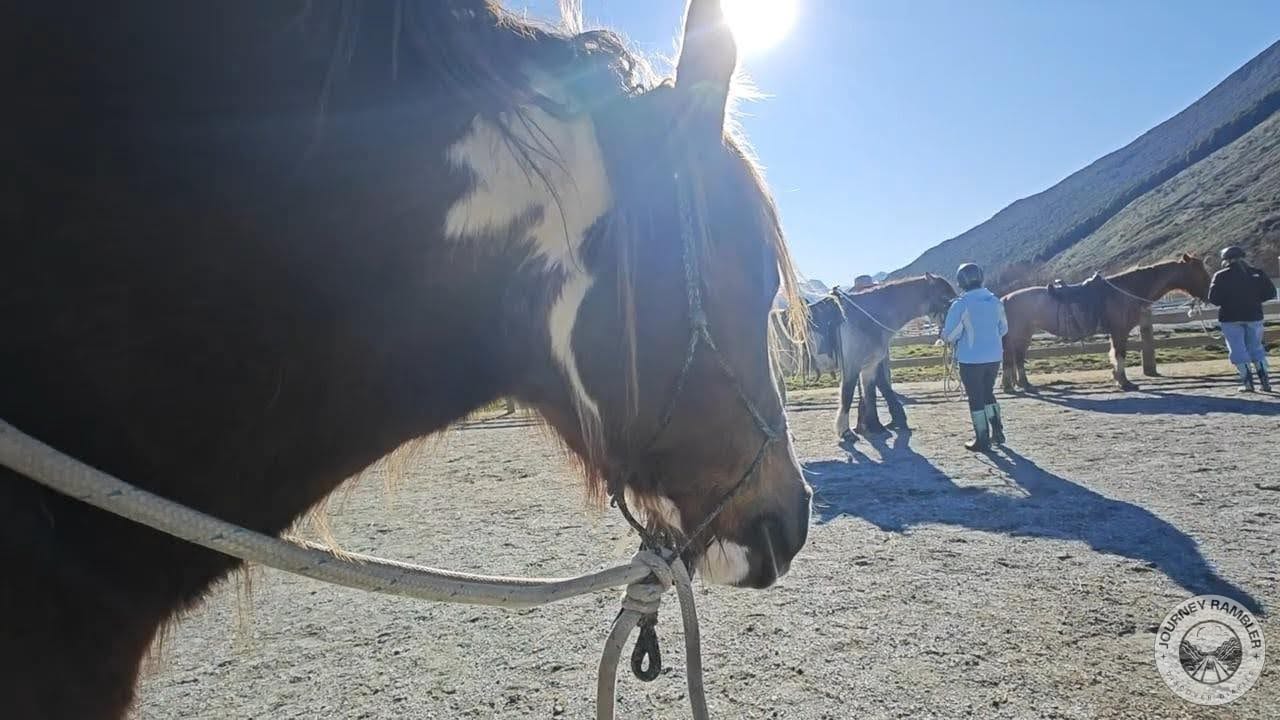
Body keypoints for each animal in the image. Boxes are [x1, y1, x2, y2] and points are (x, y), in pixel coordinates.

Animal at [833, 275, 957, 440]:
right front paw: (845, 431)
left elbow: (870, 394)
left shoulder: (869, 366)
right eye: (945, 297)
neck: (863, 316)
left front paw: (875, 426)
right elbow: (847, 395)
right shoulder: (851, 365)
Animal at [1001, 254, 1211, 392]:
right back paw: (1017, 384)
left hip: (1024, 334)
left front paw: (1119, 379)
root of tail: (1005, 299)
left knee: (1016, 357)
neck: (1126, 290)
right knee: (1013, 357)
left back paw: (1020, 384)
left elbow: (1116, 354)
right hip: (1020, 334)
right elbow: (1119, 354)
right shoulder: (1119, 330)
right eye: (1200, 273)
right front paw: (1124, 382)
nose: (1209, 294)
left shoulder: (1116, 331)